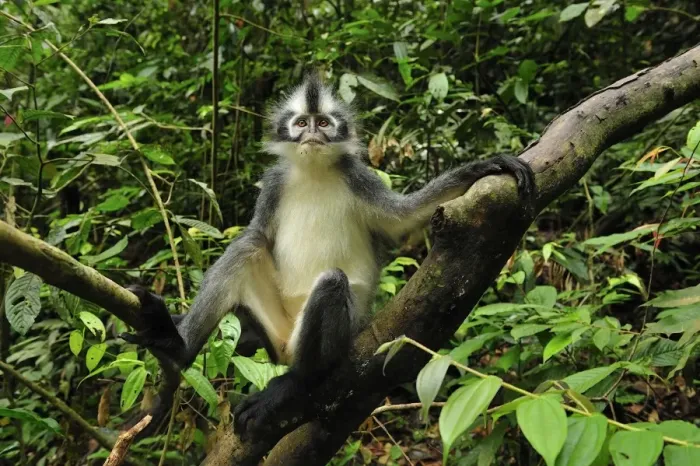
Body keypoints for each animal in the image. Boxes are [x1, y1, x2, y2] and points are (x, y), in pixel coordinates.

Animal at [122, 73, 535, 438]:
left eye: (323, 123)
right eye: (301, 123)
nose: (312, 135)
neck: (315, 172)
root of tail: (285, 347)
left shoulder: (360, 178)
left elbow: (408, 215)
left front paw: (487, 166)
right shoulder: (274, 184)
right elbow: (256, 236)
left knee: (332, 284)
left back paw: (296, 384)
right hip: (275, 326)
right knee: (246, 249)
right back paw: (176, 345)